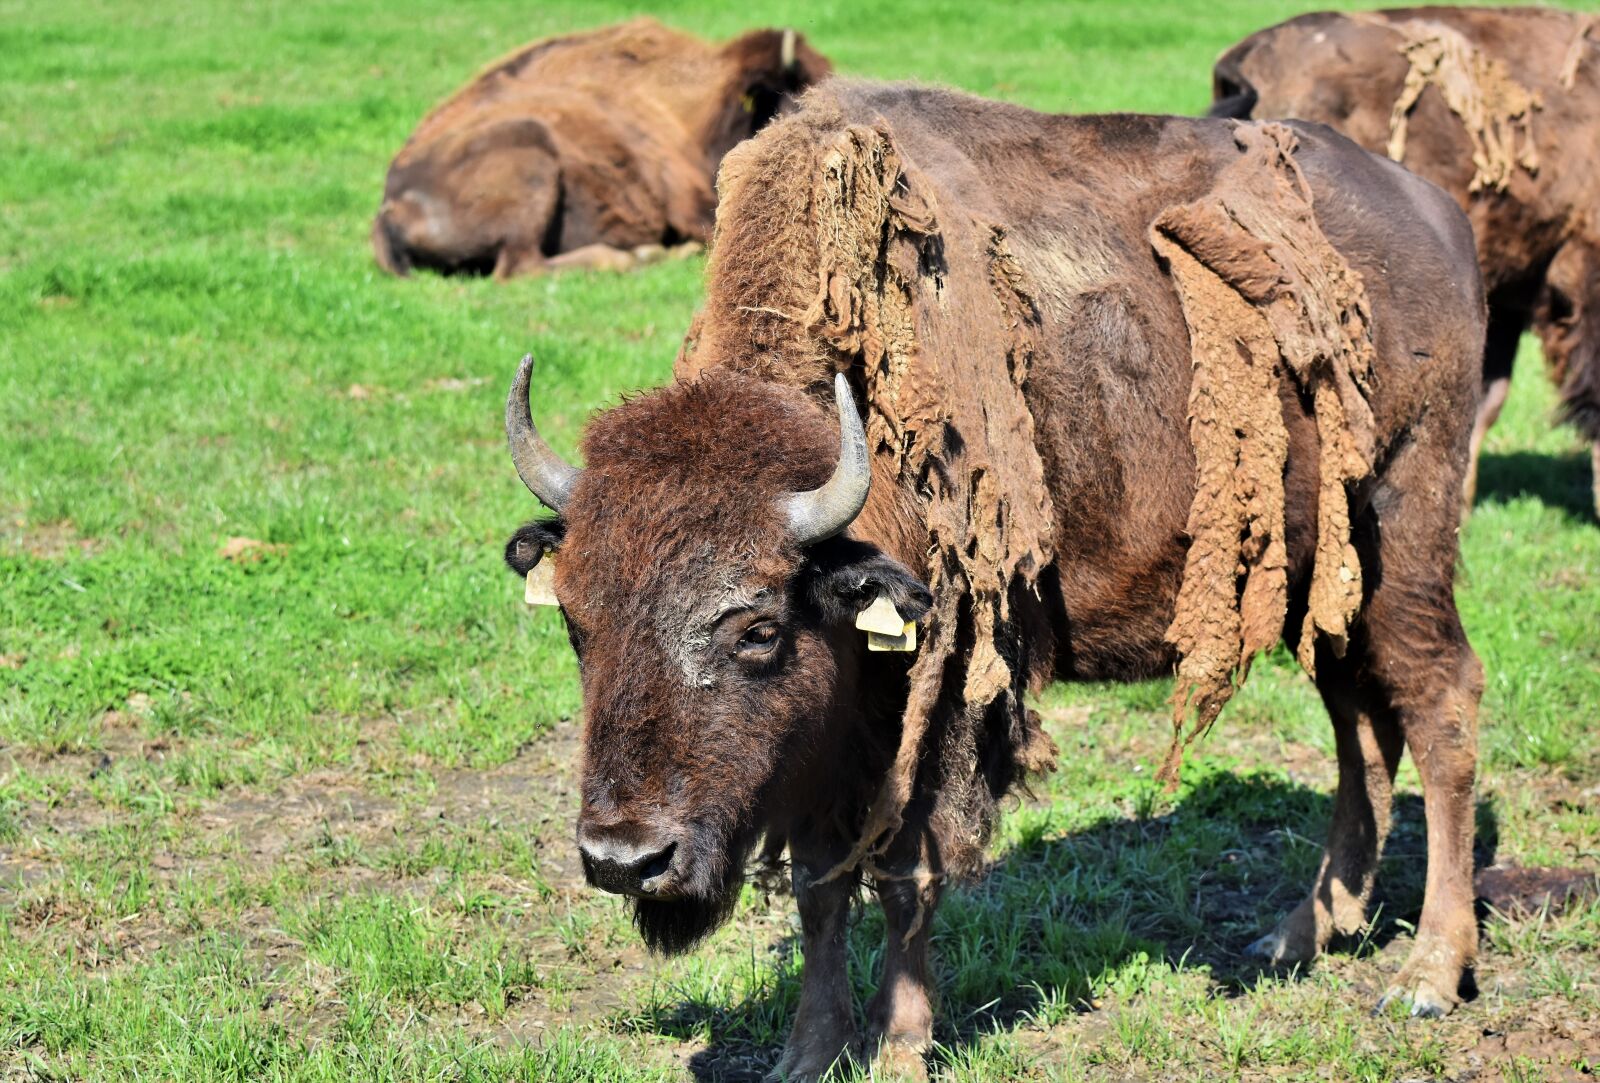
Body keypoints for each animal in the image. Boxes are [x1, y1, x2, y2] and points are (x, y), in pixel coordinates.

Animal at [504, 81, 1487, 1079]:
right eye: (576, 623)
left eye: (758, 629)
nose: (624, 857)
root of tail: (1436, 214)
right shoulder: (826, 735)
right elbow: (821, 884)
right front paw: (806, 1052)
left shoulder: (936, 705)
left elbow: (907, 872)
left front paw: (901, 1046)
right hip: (1321, 579)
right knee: (1358, 720)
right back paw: (1301, 932)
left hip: (1404, 529)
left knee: (1440, 706)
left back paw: (1426, 974)